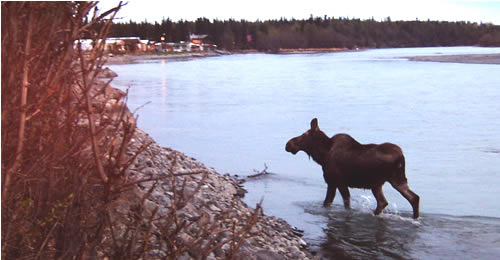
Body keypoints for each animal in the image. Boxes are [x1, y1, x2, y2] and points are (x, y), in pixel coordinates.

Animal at [286, 119, 418, 218]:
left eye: (304, 134)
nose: (288, 144)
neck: (322, 155)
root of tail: (401, 156)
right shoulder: (333, 182)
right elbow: (328, 203)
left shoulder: (337, 182)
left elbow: (341, 203)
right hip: (392, 181)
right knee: (410, 198)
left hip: (383, 181)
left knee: (387, 201)